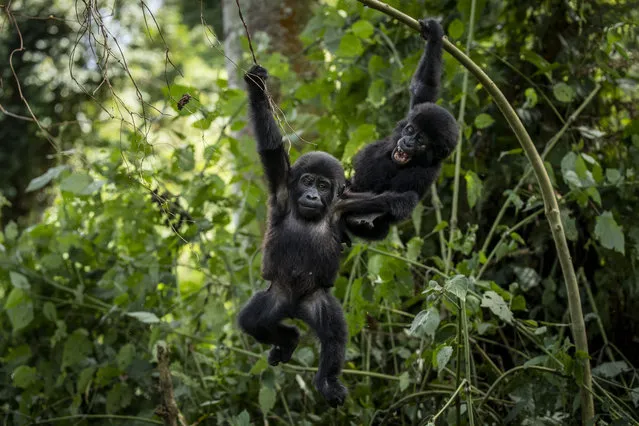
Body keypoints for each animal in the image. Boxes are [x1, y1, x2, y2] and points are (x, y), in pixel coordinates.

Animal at [239, 65, 350, 408]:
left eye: (324, 186)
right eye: (307, 181)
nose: (313, 195)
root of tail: (294, 309)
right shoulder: (282, 188)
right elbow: (272, 150)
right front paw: (257, 87)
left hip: (316, 300)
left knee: (333, 334)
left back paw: (327, 381)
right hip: (275, 296)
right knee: (253, 321)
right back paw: (288, 339)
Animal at [340, 19, 460, 240]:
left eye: (421, 141)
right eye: (411, 130)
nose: (408, 141)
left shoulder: (423, 173)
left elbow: (398, 197)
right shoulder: (418, 109)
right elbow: (424, 87)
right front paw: (434, 34)